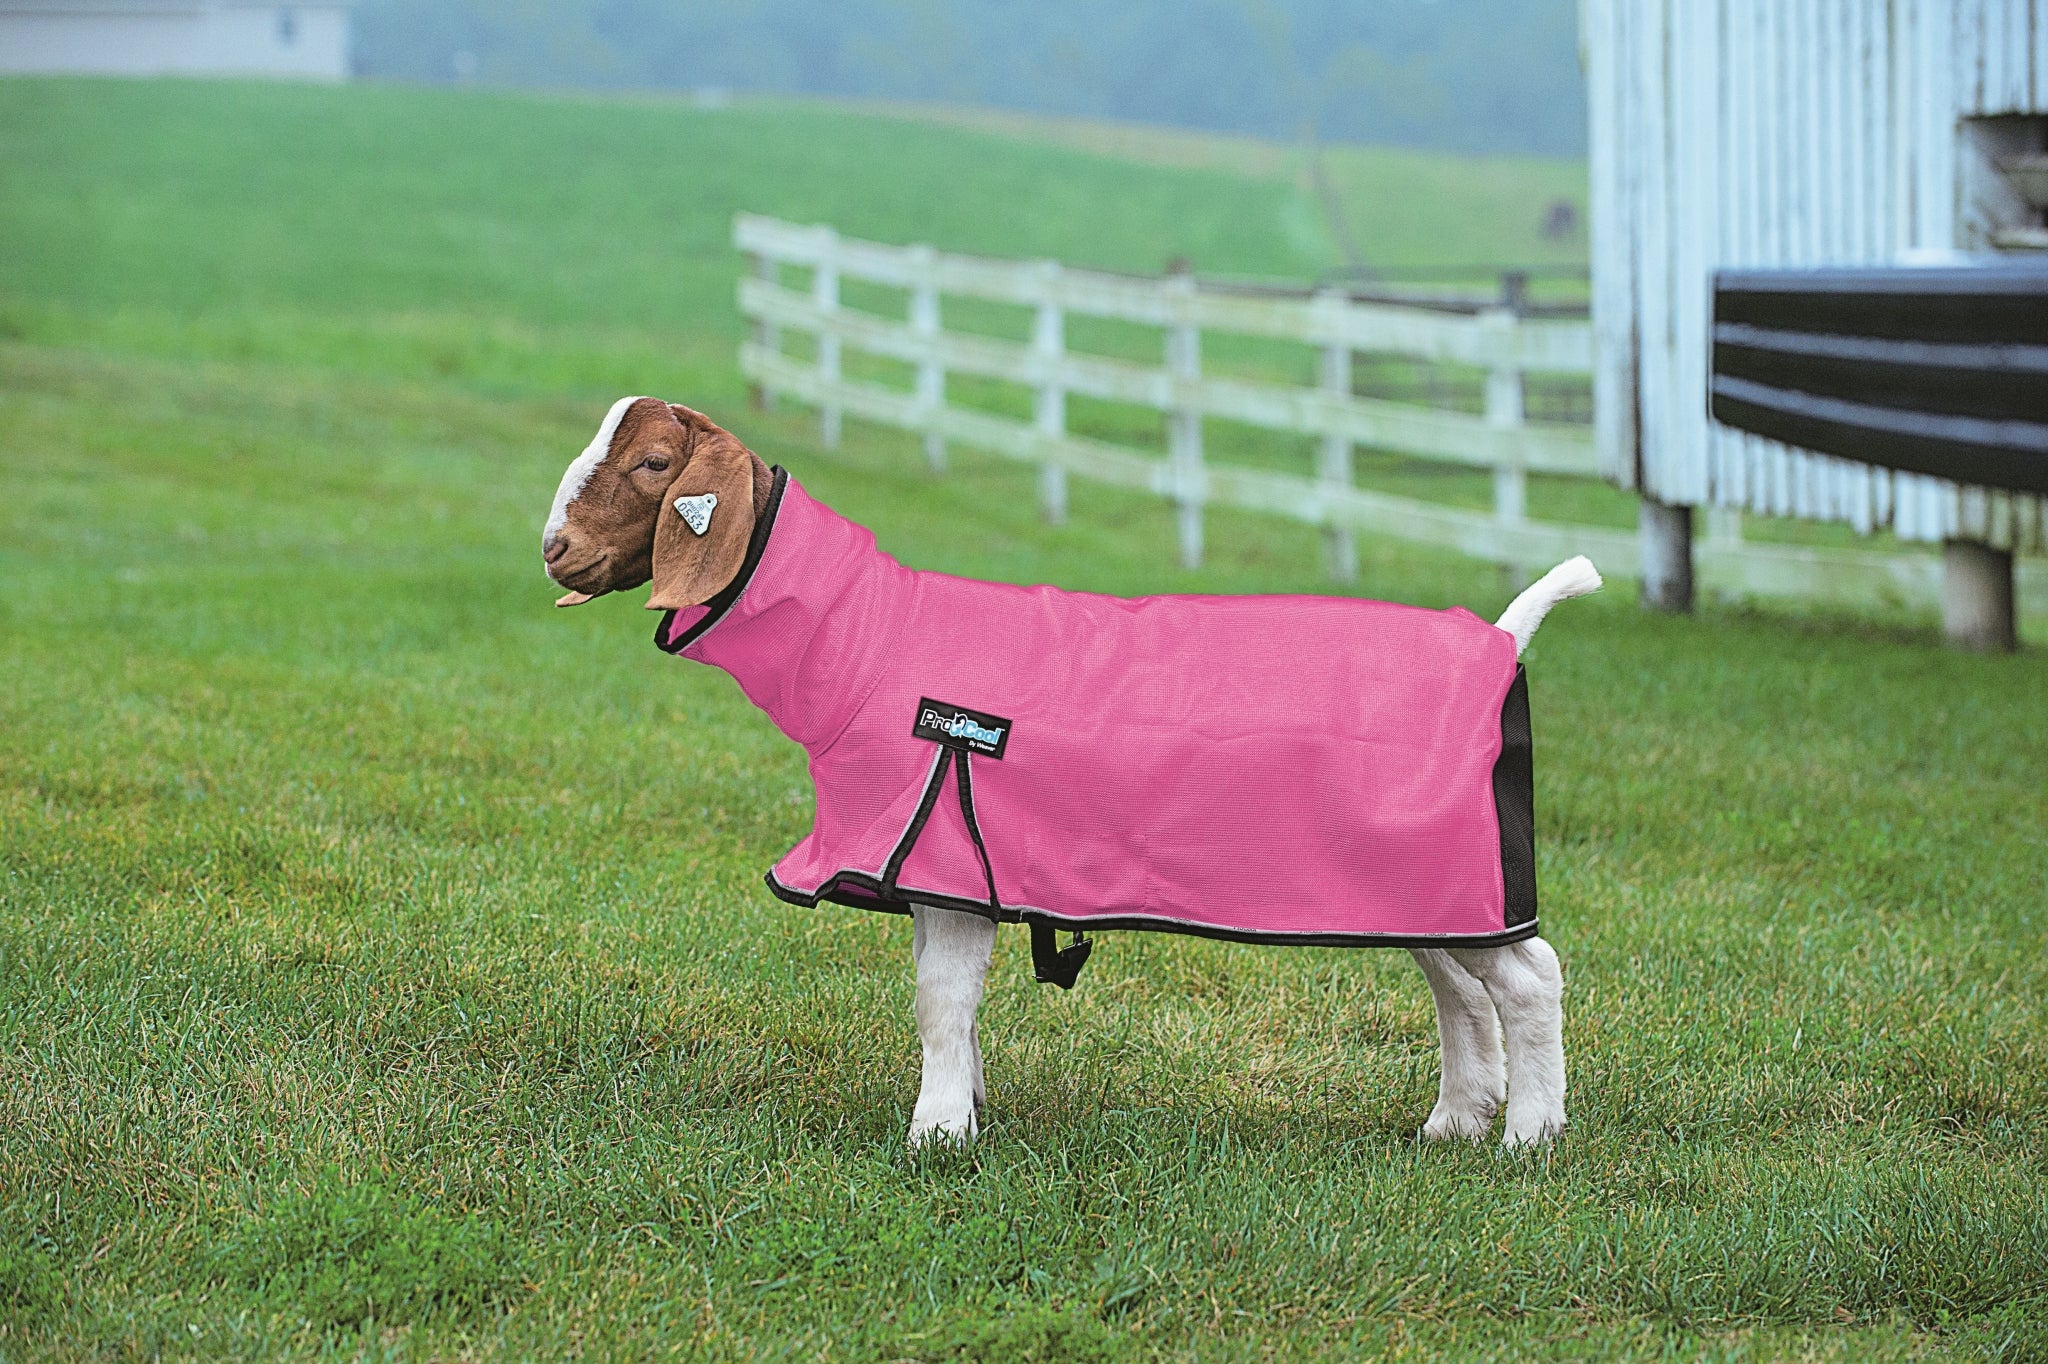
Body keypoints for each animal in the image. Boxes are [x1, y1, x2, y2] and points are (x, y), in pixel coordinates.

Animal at [544, 397, 1600, 1149]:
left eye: (652, 465)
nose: (554, 548)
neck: (868, 638)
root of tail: (1501, 637)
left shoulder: (943, 845)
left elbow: (942, 1001)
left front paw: (935, 1136)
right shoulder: (933, 868)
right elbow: (945, 1000)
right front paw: (965, 1111)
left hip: (1456, 867)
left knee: (1529, 976)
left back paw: (1530, 1135)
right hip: (1426, 879)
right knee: (1460, 984)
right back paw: (1456, 1121)